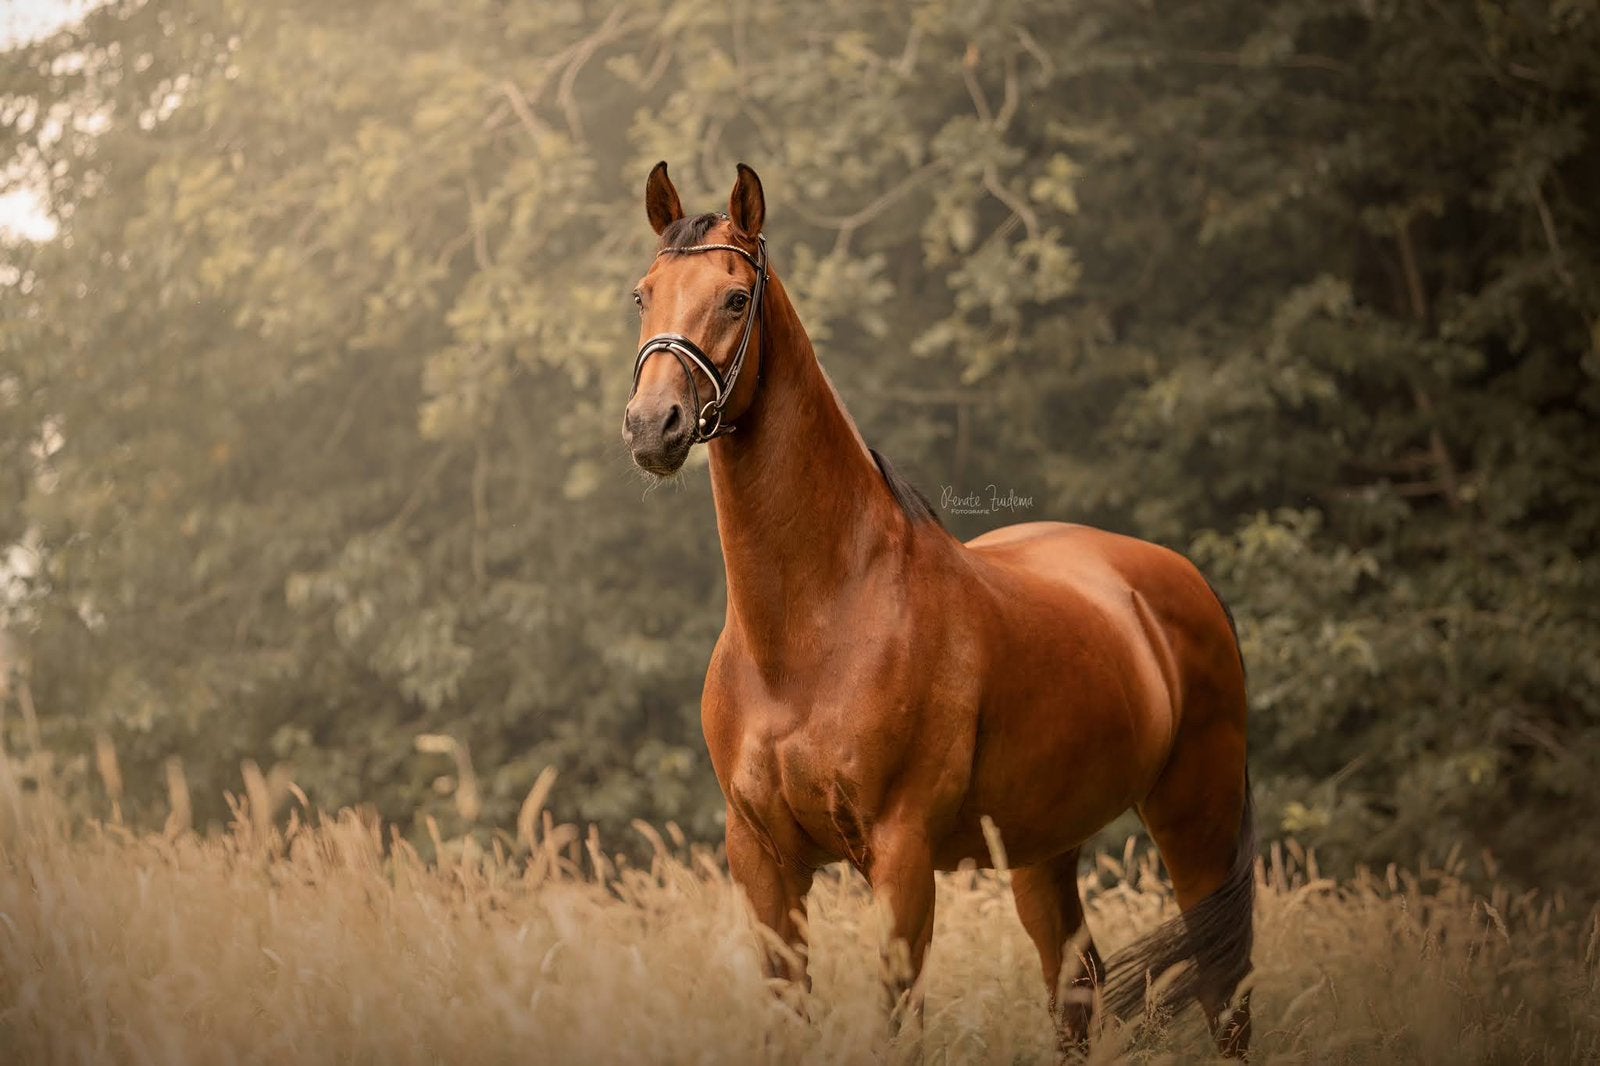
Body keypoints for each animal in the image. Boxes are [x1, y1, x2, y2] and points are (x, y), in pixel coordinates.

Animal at [620, 161, 1255, 1057]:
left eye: (736, 298)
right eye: (643, 295)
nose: (654, 425)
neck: (812, 626)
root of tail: (1181, 580)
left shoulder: (901, 856)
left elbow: (898, 1023)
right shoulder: (762, 861)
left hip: (1195, 819)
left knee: (1223, 997)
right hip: (1042, 851)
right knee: (1076, 992)